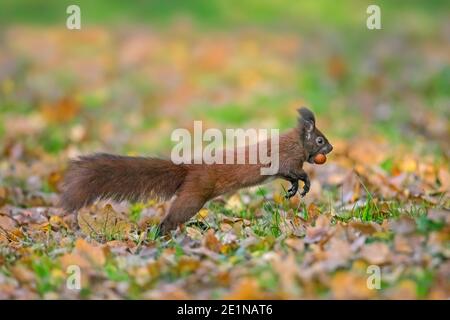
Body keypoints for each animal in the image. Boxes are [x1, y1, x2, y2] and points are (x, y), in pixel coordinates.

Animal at [59, 107, 332, 235]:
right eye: (320, 140)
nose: (331, 147)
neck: (295, 143)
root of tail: (190, 168)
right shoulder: (287, 160)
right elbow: (297, 172)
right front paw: (304, 186)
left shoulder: (285, 168)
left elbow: (290, 177)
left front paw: (293, 191)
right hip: (194, 196)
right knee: (172, 216)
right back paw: (160, 234)